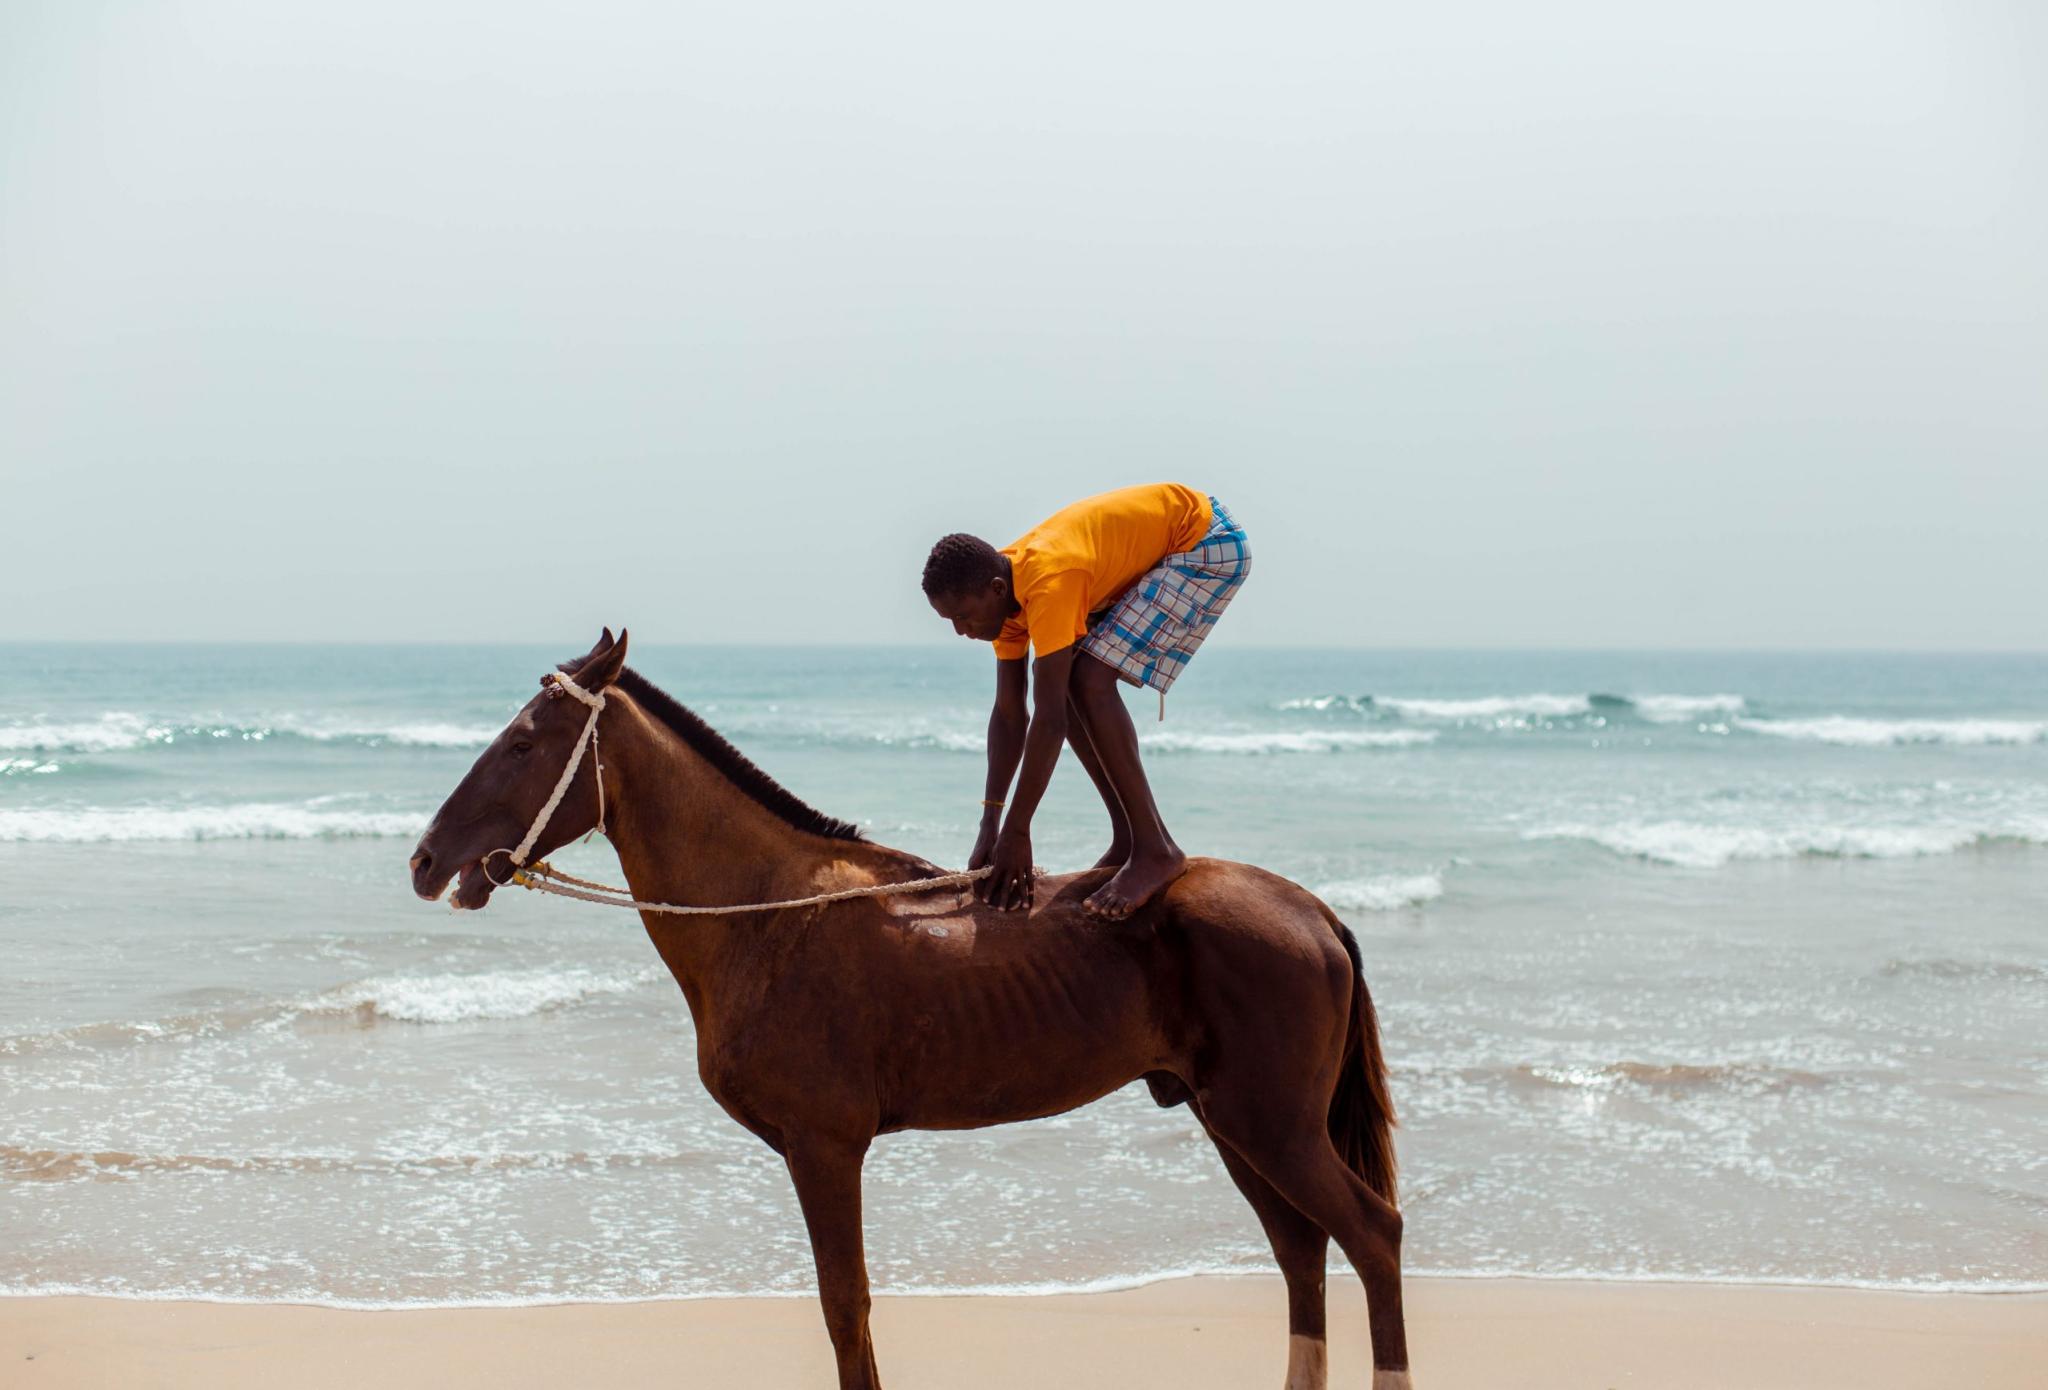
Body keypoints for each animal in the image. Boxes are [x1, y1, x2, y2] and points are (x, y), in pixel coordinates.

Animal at [409, 634, 1417, 1390]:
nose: (424, 860)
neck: (765, 910)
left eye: (524, 744)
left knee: (1371, 1236)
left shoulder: (824, 1146)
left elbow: (844, 1309)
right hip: (1232, 1121)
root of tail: (1313, 910)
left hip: (1270, 1124)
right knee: (1301, 1251)